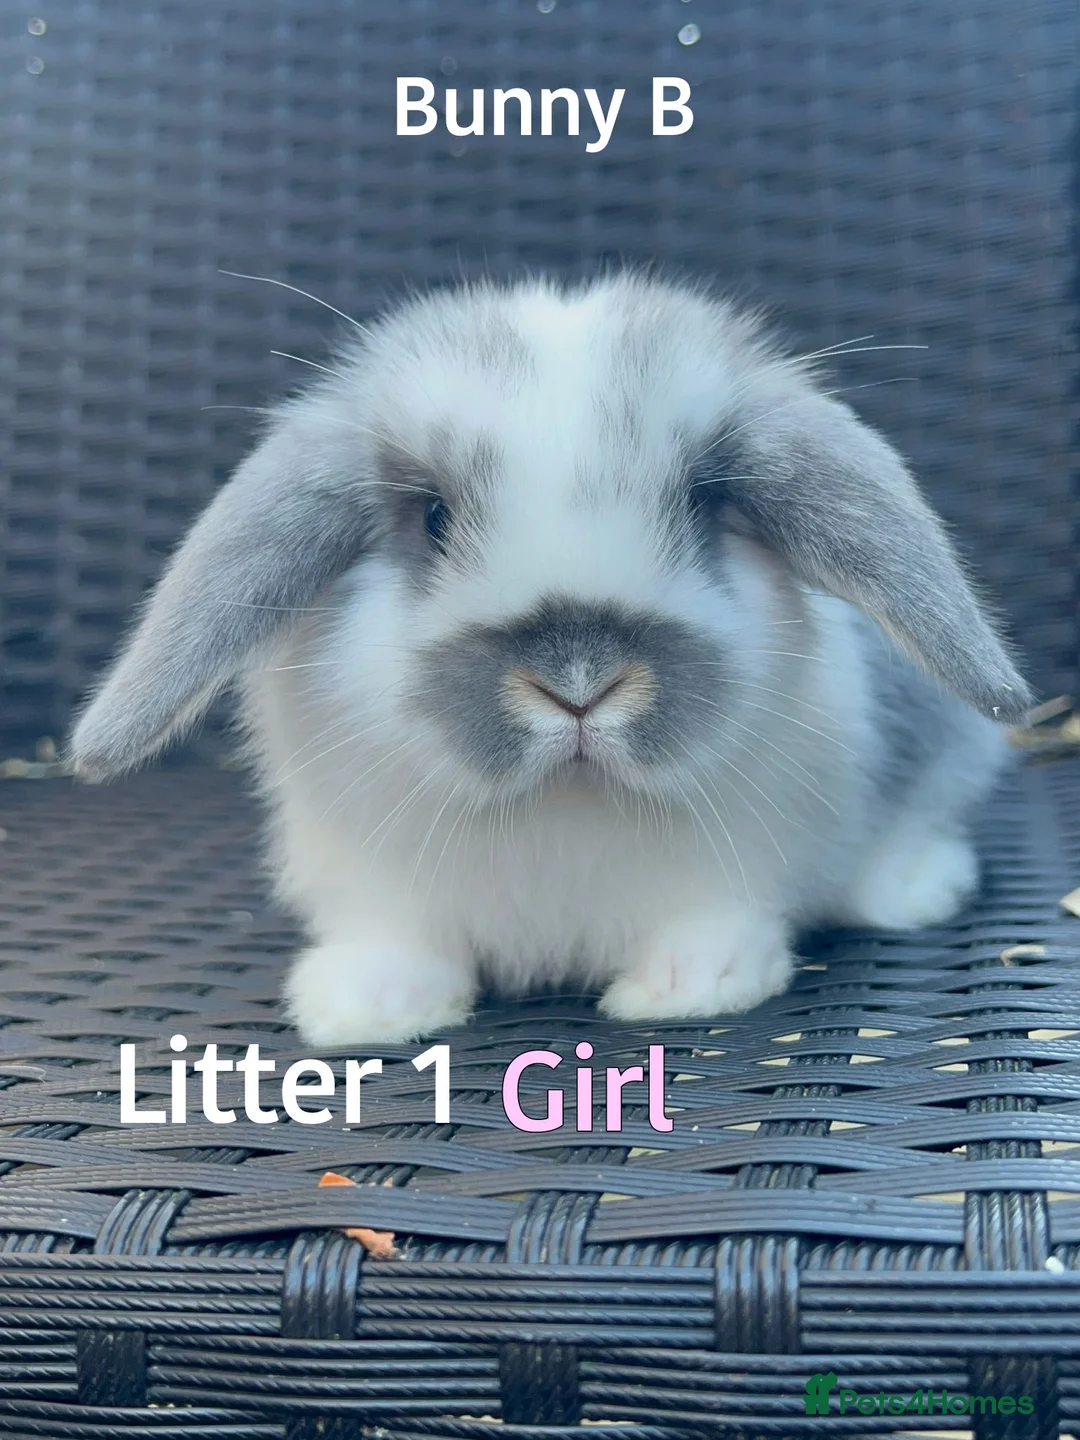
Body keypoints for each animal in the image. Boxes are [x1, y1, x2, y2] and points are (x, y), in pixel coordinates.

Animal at [69, 273, 1032, 1047]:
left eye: (705, 502)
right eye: (431, 516)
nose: (578, 686)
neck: (566, 804)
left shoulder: (743, 863)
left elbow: (716, 921)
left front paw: (686, 990)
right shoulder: (371, 874)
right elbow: (398, 940)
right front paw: (365, 1009)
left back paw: (915, 886)